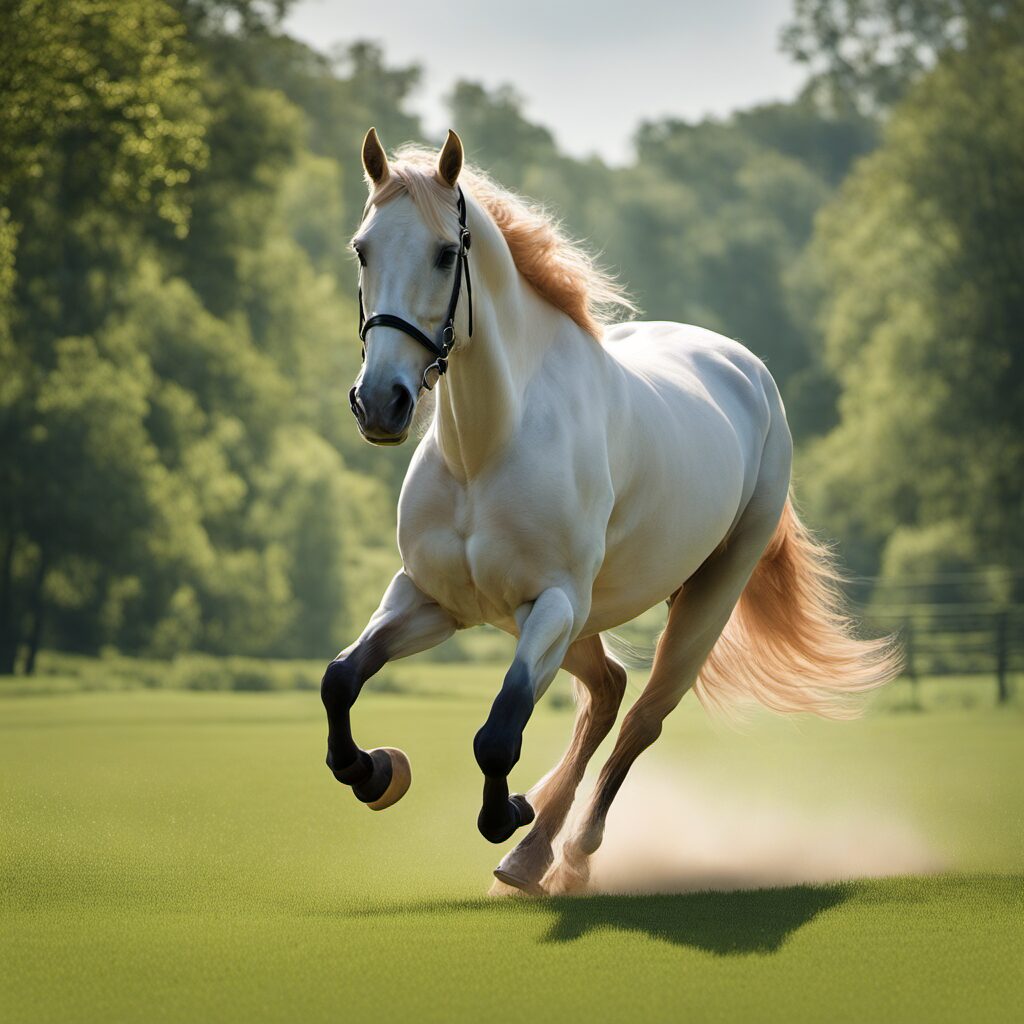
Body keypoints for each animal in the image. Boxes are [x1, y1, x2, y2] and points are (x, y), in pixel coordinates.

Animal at [320, 127, 899, 896]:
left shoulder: (554, 603)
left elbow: (499, 730)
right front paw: (376, 772)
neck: (488, 448)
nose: (381, 404)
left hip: (694, 603)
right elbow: (340, 679)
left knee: (641, 717)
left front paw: (505, 812)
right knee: (607, 692)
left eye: (446, 253)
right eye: (363, 248)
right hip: (559, 621)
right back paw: (534, 852)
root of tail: (747, 372)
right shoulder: (432, 598)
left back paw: (558, 854)